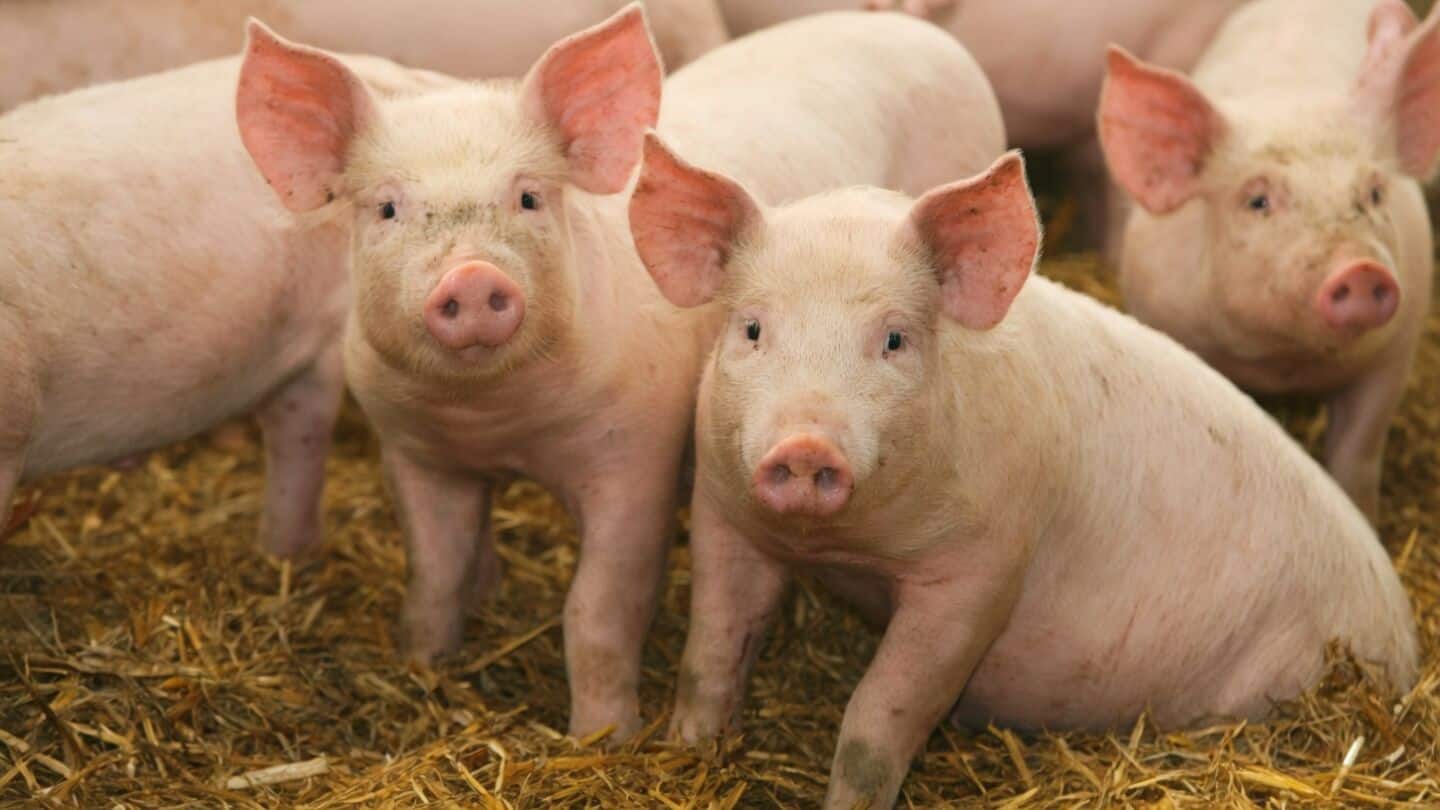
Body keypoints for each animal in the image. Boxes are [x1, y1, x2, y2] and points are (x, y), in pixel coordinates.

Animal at [234, 6, 998, 738]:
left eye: (529, 198)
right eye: (387, 207)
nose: (474, 277)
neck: (498, 421)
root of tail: (913, 29)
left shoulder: (637, 457)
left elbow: (597, 608)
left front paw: (604, 737)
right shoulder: (415, 451)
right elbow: (433, 575)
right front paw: (423, 665)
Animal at [629, 140, 1418, 810]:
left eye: (895, 339)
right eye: (752, 329)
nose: (804, 444)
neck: (849, 552)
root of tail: (1406, 636)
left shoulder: (982, 567)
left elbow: (878, 720)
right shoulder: (724, 514)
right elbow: (711, 651)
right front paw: (690, 748)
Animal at [1097, 0, 1440, 520]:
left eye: (1375, 192)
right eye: (1257, 201)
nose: (1360, 269)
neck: (1285, 362)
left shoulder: (1397, 350)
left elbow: (1357, 457)